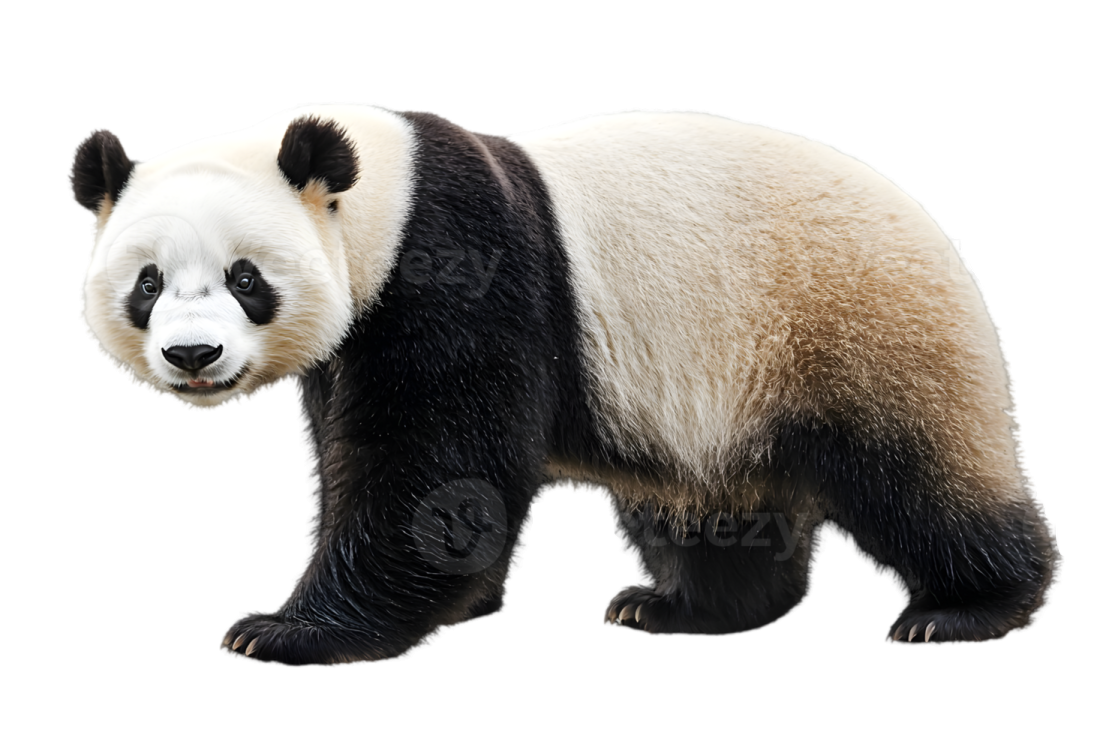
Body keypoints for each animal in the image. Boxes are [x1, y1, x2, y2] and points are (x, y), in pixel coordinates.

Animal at [70, 103, 1057, 667]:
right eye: (148, 282)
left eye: (245, 277)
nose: (193, 356)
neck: (381, 190)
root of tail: (928, 223)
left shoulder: (456, 261)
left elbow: (434, 469)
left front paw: (286, 630)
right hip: (723, 376)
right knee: (716, 492)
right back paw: (679, 607)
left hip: (850, 321)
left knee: (920, 468)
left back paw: (963, 610)